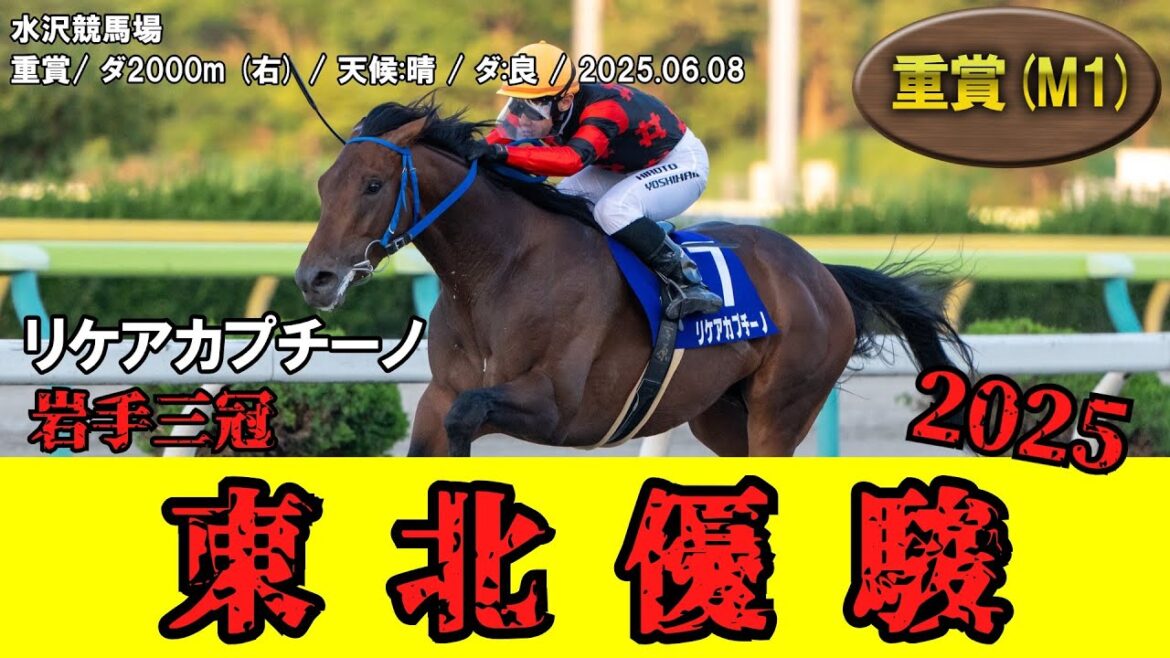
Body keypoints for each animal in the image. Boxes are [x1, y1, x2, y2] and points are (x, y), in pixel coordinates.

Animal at [295, 96, 973, 457]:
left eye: (373, 185)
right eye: (324, 184)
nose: (314, 278)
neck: (496, 272)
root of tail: (819, 273)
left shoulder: (558, 406)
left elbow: (471, 413)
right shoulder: (437, 398)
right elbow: (441, 423)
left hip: (782, 408)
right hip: (720, 415)